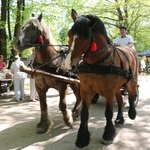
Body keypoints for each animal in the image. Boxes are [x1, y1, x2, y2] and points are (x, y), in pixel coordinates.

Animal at [65, 9, 139, 148]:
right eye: (69, 34)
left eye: (84, 38)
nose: (68, 65)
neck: (97, 63)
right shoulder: (85, 90)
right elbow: (84, 114)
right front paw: (82, 138)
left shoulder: (109, 92)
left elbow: (108, 113)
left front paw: (108, 134)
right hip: (117, 88)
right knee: (120, 101)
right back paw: (119, 119)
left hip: (132, 81)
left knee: (132, 95)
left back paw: (132, 113)